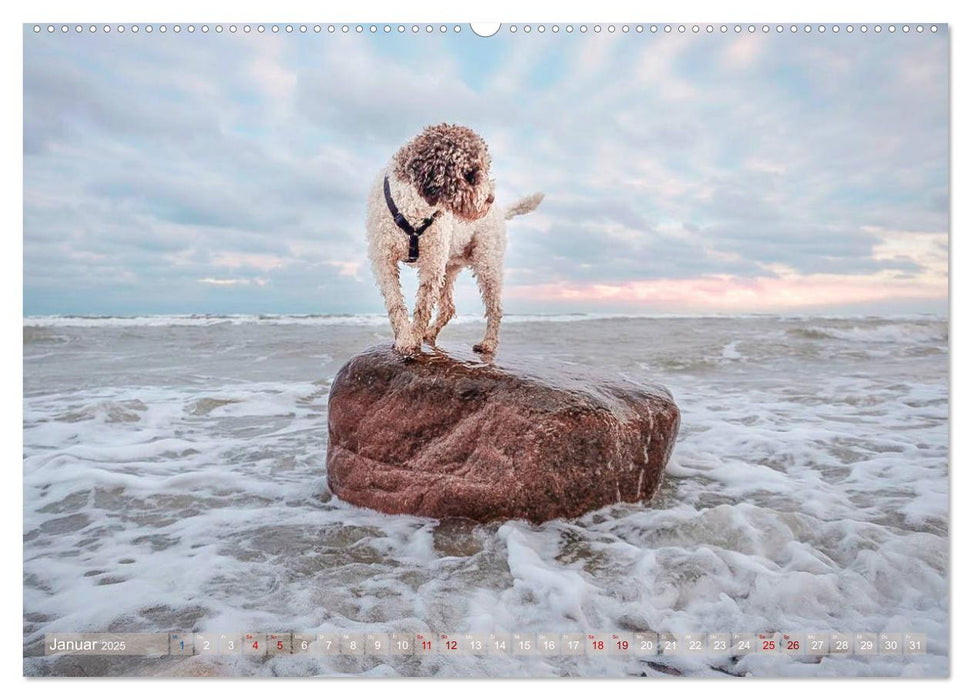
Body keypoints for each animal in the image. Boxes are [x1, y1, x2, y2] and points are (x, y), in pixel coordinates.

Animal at [366, 123, 544, 356]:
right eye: (470, 175)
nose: (490, 199)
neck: (412, 207)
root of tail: (500, 211)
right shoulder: (384, 261)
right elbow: (394, 302)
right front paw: (405, 337)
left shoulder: (432, 264)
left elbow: (423, 307)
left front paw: (413, 339)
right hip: (449, 269)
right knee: (449, 308)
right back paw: (430, 334)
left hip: (487, 264)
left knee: (495, 308)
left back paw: (488, 344)